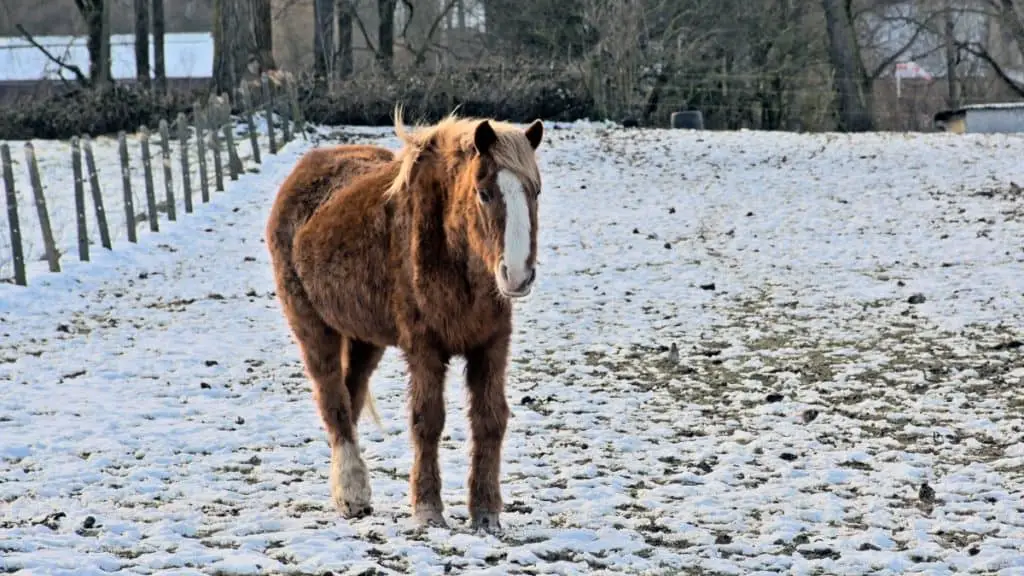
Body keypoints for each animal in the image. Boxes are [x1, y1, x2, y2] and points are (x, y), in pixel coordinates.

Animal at [268, 109, 548, 532]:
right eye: (484, 193)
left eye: (535, 191)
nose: (516, 275)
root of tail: (302, 173)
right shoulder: (424, 347)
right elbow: (427, 420)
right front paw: (428, 509)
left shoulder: (491, 344)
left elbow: (490, 419)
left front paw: (485, 512)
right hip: (313, 328)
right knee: (333, 402)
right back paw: (351, 493)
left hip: (365, 339)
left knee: (351, 396)